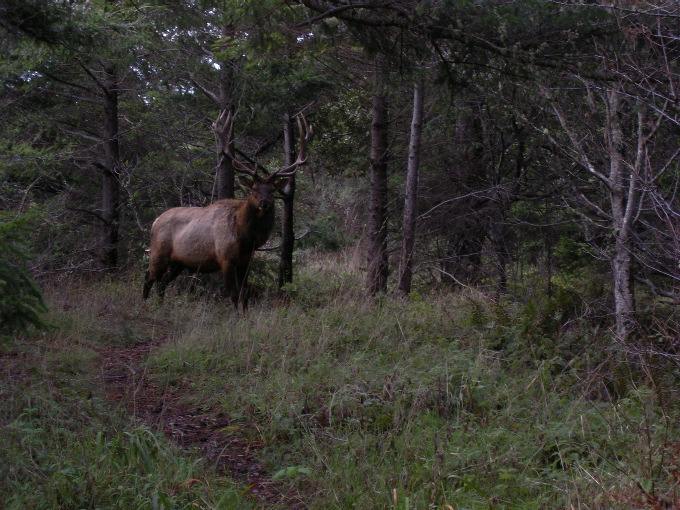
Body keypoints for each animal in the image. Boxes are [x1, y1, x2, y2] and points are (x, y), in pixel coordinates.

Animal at [144, 110, 314, 306]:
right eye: (254, 189)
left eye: (272, 190)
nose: (265, 203)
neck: (246, 238)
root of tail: (155, 221)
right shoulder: (225, 258)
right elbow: (233, 294)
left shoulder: (245, 261)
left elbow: (244, 294)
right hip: (158, 251)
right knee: (149, 278)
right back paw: (144, 305)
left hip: (178, 262)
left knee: (162, 283)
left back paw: (159, 305)